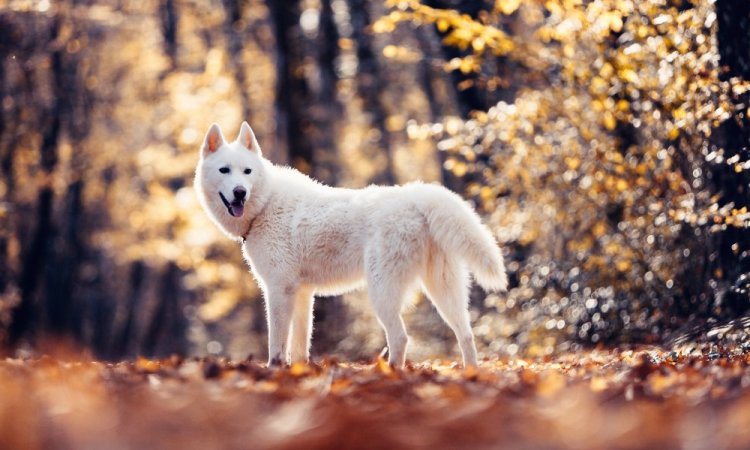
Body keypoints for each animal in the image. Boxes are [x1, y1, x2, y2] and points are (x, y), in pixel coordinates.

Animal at [197, 122, 508, 366]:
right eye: (225, 170)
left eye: (247, 171)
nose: (240, 192)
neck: (265, 205)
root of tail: (416, 196)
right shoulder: (303, 293)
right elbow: (299, 349)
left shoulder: (278, 290)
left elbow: (276, 349)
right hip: (443, 291)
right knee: (466, 335)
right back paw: (471, 375)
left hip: (382, 293)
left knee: (400, 339)